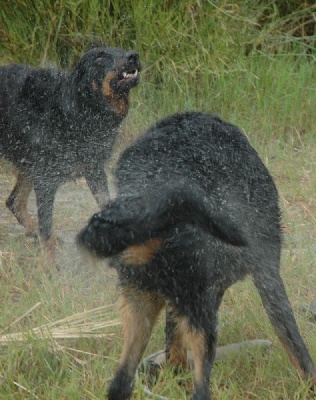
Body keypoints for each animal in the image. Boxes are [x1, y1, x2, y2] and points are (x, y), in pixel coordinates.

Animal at [0, 46, 141, 260]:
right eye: (100, 56)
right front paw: (50, 264)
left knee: (14, 201)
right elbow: (47, 229)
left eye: (122, 49)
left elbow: (106, 204)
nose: (133, 56)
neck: (81, 108)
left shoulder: (94, 170)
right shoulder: (46, 181)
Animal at [77, 112, 316, 400]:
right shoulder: (266, 274)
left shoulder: (176, 299)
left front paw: (173, 373)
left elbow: (173, 344)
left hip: (140, 304)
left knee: (121, 381)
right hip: (201, 315)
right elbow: (296, 347)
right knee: (201, 389)